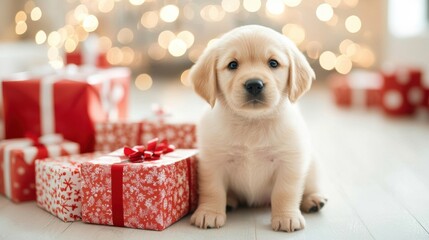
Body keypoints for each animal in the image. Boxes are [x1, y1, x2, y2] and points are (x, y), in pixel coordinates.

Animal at [189, 24, 326, 232]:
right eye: (232, 65)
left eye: (273, 63)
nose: (254, 84)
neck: (252, 122)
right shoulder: (212, 161)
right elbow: (213, 189)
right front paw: (209, 212)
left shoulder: (290, 161)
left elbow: (285, 191)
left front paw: (286, 217)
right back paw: (230, 201)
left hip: (313, 164)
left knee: (310, 186)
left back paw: (313, 199)